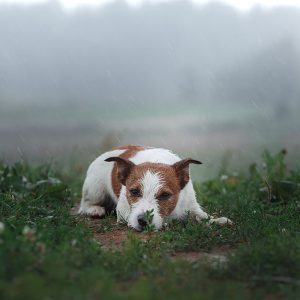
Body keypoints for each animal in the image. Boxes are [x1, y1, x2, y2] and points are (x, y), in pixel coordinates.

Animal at [78, 144, 232, 231]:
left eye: (165, 195)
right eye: (134, 191)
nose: (143, 221)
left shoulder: (191, 206)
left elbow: (202, 216)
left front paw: (216, 220)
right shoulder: (122, 210)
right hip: (95, 189)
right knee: (85, 204)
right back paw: (94, 209)